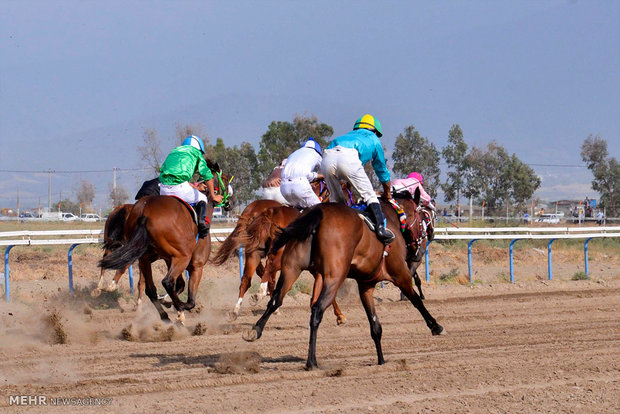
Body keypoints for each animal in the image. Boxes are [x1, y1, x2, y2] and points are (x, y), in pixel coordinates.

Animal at [99, 162, 230, 324]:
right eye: (226, 180)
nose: (228, 203)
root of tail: (144, 211)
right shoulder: (195, 265)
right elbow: (190, 298)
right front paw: (178, 307)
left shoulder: (169, 259)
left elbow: (179, 285)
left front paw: (167, 301)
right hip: (180, 257)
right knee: (165, 282)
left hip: (143, 256)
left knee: (148, 287)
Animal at [243, 199, 446, 370]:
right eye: (426, 218)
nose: (424, 244)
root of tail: (317, 213)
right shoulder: (401, 274)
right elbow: (416, 300)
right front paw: (435, 326)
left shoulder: (365, 286)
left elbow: (375, 327)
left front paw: (381, 361)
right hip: (334, 276)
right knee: (317, 310)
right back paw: (312, 361)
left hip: (291, 268)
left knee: (276, 300)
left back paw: (255, 330)